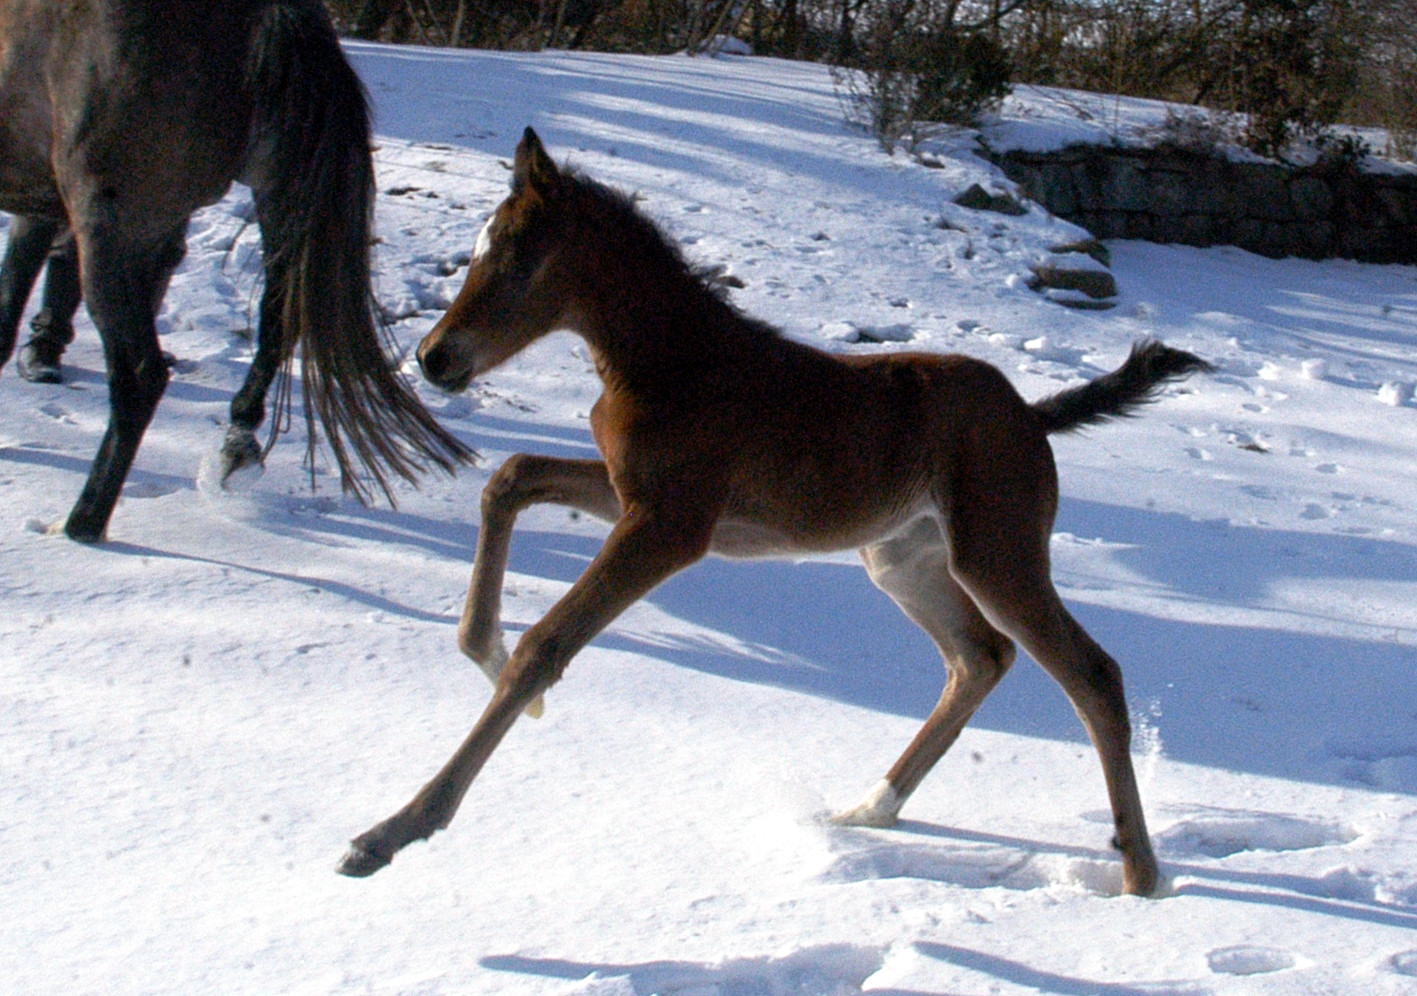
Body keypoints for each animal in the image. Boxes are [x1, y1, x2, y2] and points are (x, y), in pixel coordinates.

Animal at [0, 0, 476, 541]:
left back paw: (84, 522)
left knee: (139, 378)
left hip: (109, 235)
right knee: (277, 323)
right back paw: (237, 442)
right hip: (273, 199)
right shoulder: (38, 208)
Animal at [337, 126, 1212, 895]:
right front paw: (481, 652)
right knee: (980, 658)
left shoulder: (669, 526)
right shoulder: (636, 495)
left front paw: (388, 834)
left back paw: (1140, 876)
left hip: (996, 552)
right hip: (902, 559)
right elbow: (510, 478)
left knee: (1090, 673)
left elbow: (546, 644)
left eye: (519, 256)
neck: (670, 364)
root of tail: (1031, 417)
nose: (435, 358)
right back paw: (870, 808)